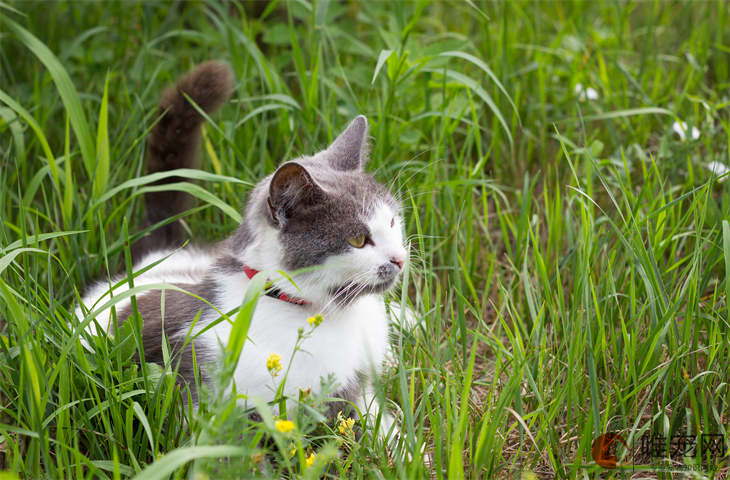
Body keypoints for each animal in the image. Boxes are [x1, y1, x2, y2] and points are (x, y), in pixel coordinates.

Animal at [77, 60, 406, 432]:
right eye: (358, 240)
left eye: (392, 222)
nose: (399, 259)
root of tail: (156, 253)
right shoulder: (203, 388)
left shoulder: (358, 389)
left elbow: (379, 423)